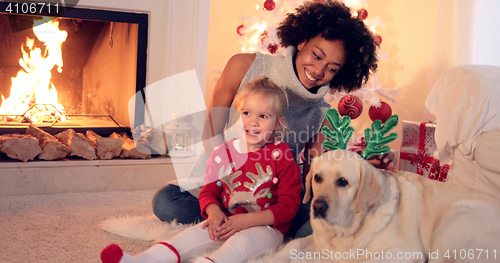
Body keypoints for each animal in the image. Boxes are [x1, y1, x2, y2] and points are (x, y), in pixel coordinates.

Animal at [264, 151, 498, 263]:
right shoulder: (317, 240)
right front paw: (270, 258)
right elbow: (294, 244)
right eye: (317, 178)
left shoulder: (405, 251)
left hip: (454, 218)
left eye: (343, 182)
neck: (347, 231)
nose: (318, 206)